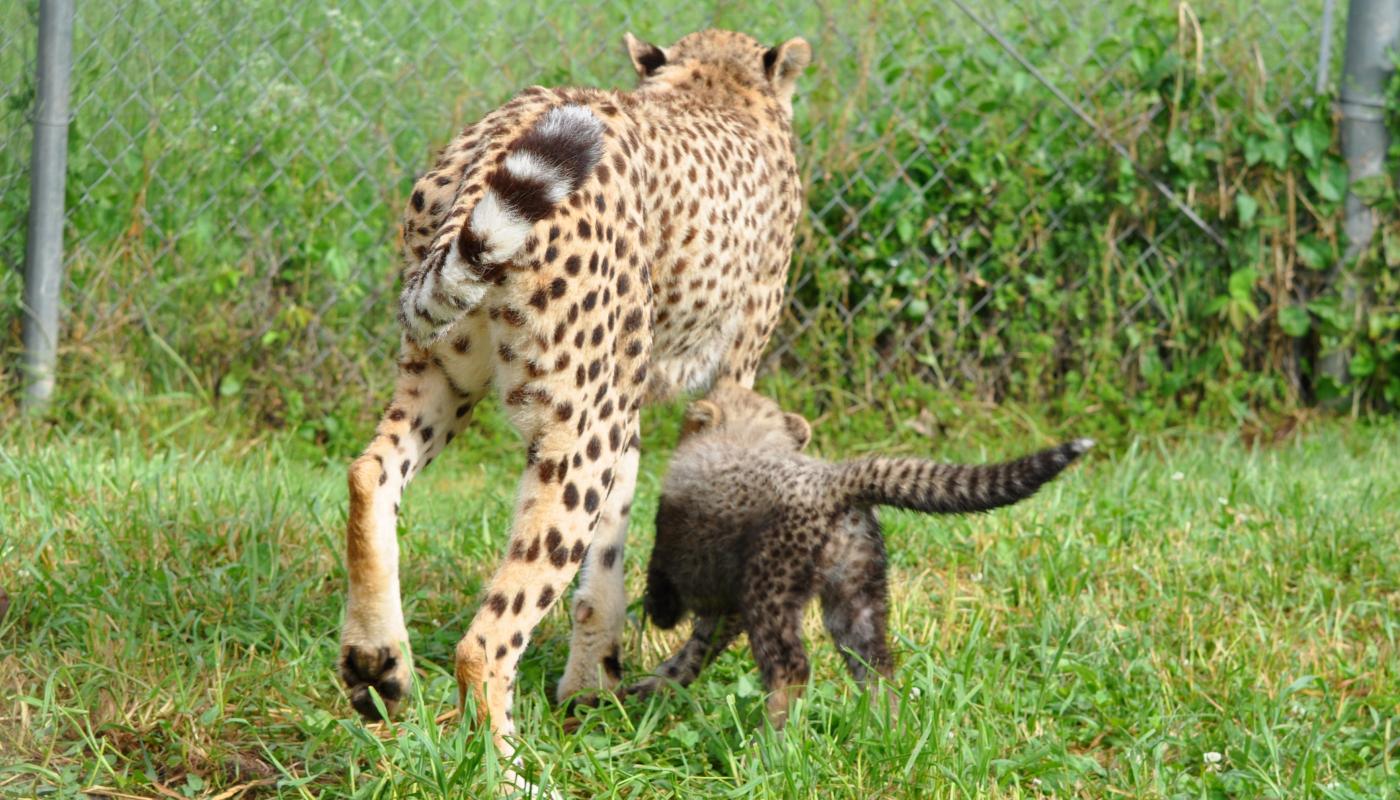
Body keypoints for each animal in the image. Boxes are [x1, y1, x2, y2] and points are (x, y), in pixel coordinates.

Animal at [338, 26, 817, 750]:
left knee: (370, 473)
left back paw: (378, 662)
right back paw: (506, 763)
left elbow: (607, 557)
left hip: (446, 375)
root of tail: (491, 141)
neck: (715, 84)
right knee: (485, 642)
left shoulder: (623, 403)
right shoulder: (721, 376)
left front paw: (591, 687)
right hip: (578, 428)